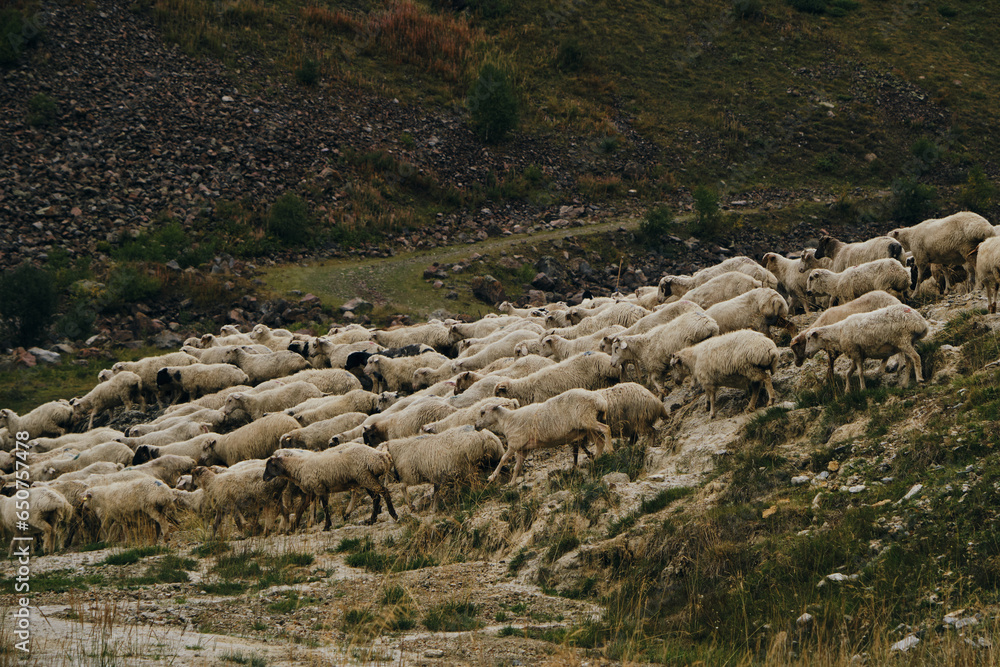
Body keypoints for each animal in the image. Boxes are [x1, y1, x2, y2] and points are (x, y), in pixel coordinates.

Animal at [263, 444, 398, 527]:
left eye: (269, 466)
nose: (264, 478)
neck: (298, 466)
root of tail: (380, 456)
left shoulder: (319, 487)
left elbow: (325, 507)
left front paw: (327, 526)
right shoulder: (316, 490)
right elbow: (309, 507)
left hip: (365, 477)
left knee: (384, 492)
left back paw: (393, 515)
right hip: (365, 479)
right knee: (376, 498)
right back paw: (371, 519)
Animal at [476, 388, 612, 483]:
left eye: (483, 412)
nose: (476, 426)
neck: (508, 419)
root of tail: (601, 401)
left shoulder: (514, 444)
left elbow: (503, 459)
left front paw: (492, 477)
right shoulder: (523, 449)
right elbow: (517, 467)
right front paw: (512, 483)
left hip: (587, 419)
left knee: (606, 429)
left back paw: (610, 451)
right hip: (588, 427)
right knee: (600, 442)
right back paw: (597, 459)